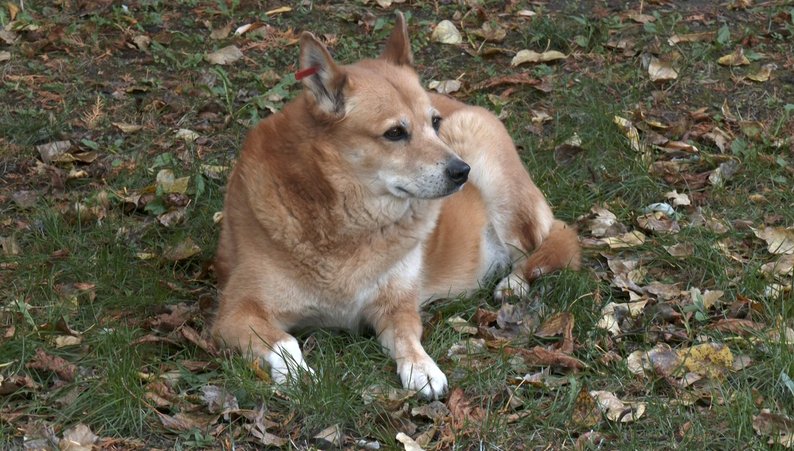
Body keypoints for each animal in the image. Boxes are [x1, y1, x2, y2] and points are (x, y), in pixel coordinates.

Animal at [210, 12, 580, 400]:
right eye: (394, 133)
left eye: (434, 123)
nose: (462, 171)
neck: (348, 220)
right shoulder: (236, 312)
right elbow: (285, 342)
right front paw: (297, 373)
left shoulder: (398, 306)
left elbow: (408, 338)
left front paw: (422, 368)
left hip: (496, 179)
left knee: (547, 245)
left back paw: (514, 283)